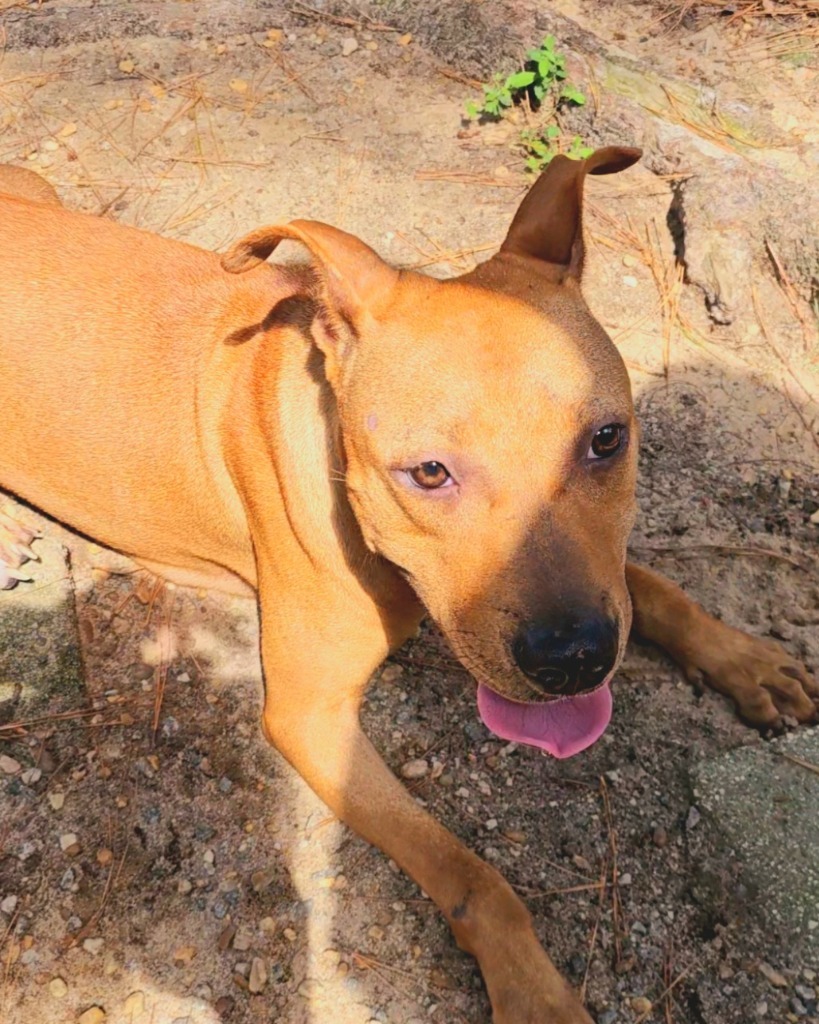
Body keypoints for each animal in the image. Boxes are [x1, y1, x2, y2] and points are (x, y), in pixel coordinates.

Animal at [0, 153, 814, 1024]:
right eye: (427, 472)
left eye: (606, 439)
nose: (573, 659)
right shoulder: (309, 716)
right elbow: (470, 876)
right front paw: (533, 989)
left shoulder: (602, 580)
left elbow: (652, 590)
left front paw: (745, 662)